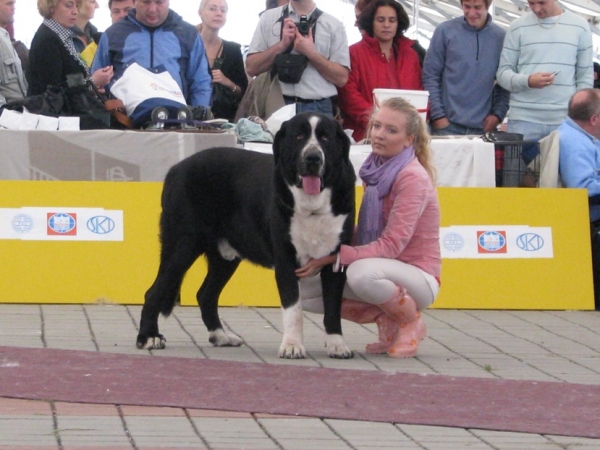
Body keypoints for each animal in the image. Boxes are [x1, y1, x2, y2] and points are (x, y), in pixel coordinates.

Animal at [136, 112, 356, 358]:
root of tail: (175, 169)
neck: (312, 205)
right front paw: (292, 345)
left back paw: (221, 336)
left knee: (206, 294)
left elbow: (333, 307)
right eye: (299, 136)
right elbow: (294, 309)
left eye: (326, 138)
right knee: (154, 292)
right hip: (182, 245)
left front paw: (337, 345)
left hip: (224, 257)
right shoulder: (286, 260)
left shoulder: (336, 260)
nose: (313, 157)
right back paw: (148, 338)